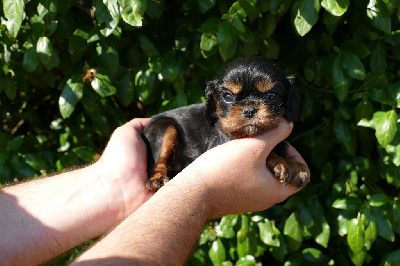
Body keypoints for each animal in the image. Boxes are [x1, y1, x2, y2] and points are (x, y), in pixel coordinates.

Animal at [142, 56, 310, 193]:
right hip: (163, 128)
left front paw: (297, 166)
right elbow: (270, 153)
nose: (249, 110)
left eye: (271, 95)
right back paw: (156, 180)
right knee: (160, 160)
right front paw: (281, 162)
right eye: (228, 96)